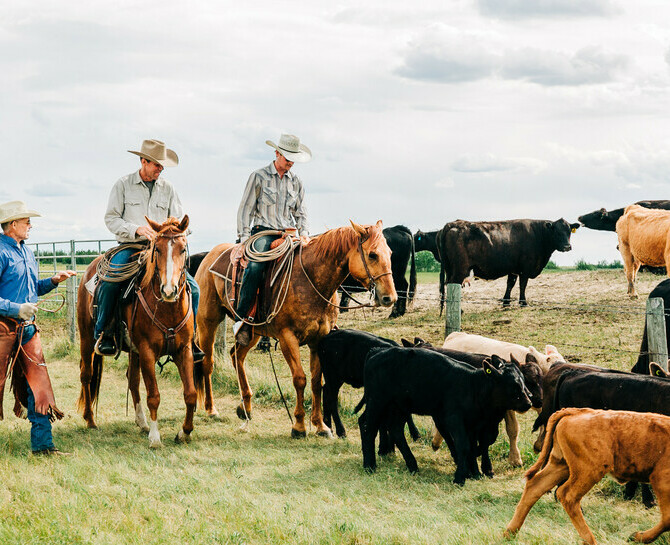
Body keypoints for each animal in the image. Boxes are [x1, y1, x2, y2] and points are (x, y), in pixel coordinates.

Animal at [77, 216, 197, 446]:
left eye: (183, 248)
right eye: (157, 249)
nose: (169, 290)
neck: (167, 309)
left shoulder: (183, 350)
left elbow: (190, 394)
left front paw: (184, 432)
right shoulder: (148, 351)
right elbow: (154, 395)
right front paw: (155, 438)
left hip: (134, 351)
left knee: (132, 379)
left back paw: (141, 422)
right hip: (86, 338)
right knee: (87, 375)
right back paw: (90, 420)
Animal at [194, 219, 396, 436]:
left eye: (390, 253)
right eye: (372, 255)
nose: (389, 297)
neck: (311, 280)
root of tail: (209, 256)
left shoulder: (318, 340)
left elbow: (316, 381)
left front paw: (320, 425)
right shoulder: (287, 338)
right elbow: (300, 379)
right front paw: (299, 425)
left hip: (252, 331)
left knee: (236, 356)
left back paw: (245, 407)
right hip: (208, 322)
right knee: (207, 363)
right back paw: (211, 409)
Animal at [360, 346, 532, 482]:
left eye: (523, 381)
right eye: (513, 384)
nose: (529, 402)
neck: (472, 386)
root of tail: (376, 351)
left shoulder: (474, 424)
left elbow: (475, 446)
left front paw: (475, 473)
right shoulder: (454, 418)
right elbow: (464, 445)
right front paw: (460, 477)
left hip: (398, 407)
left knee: (395, 430)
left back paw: (412, 465)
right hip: (377, 401)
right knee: (368, 426)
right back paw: (370, 465)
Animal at [438, 219, 580, 308]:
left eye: (569, 231)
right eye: (557, 231)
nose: (567, 246)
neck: (539, 235)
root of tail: (452, 224)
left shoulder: (514, 269)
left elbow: (510, 284)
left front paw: (506, 302)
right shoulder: (525, 269)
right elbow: (523, 285)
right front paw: (523, 303)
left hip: (450, 269)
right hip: (460, 269)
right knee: (453, 284)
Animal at [506, 406, 670, 540]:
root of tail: (577, 411)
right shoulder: (661, 479)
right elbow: (667, 519)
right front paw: (637, 537)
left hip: (560, 465)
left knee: (535, 486)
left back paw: (509, 534)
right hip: (589, 471)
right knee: (567, 495)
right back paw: (590, 540)